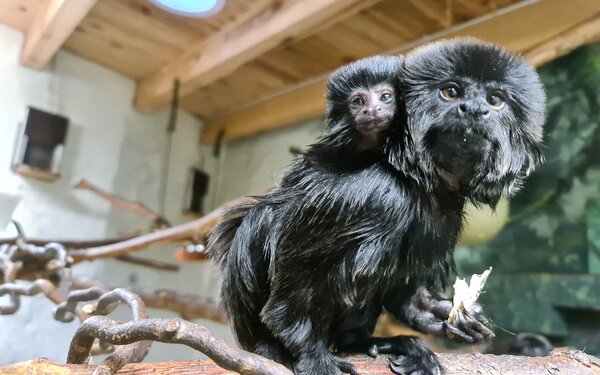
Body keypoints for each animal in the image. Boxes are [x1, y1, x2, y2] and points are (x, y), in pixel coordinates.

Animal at [211, 39, 544, 375]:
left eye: (495, 100)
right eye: (451, 92)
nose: (475, 110)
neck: (414, 178)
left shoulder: (446, 216)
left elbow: (408, 293)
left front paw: (447, 315)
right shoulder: (378, 194)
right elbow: (296, 275)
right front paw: (311, 355)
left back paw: (368, 342)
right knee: (261, 218)